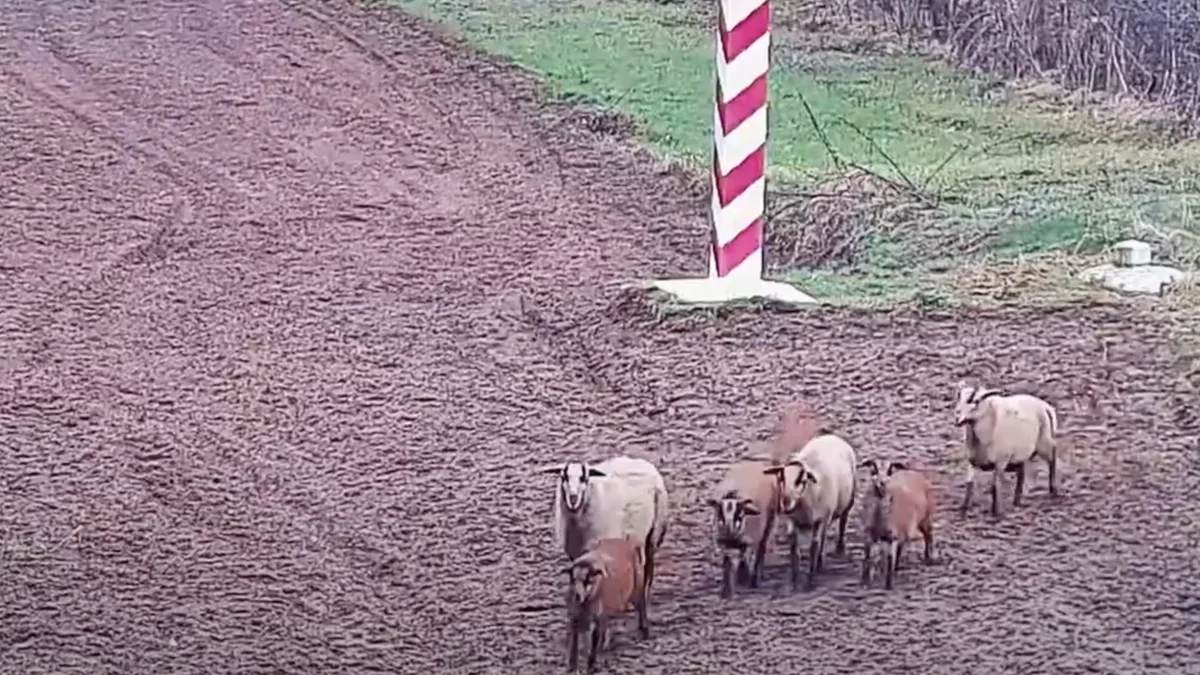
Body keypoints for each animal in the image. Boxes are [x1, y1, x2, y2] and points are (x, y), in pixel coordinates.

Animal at [540, 456, 672, 593]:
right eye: (563, 477)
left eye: (584, 478)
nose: (573, 499)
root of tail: (645, 463)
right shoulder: (576, 554)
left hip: (652, 536)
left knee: (647, 571)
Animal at [561, 533, 648, 667]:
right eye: (573, 579)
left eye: (588, 580)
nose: (577, 596)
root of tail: (623, 540)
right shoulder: (576, 615)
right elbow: (575, 642)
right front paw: (572, 665)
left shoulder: (596, 616)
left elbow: (594, 639)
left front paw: (591, 664)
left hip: (637, 586)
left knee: (642, 605)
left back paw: (643, 629)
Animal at [763, 429, 859, 588]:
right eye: (782, 478)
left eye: (801, 480)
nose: (785, 504)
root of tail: (832, 436)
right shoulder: (792, 520)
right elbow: (794, 548)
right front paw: (794, 577)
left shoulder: (819, 520)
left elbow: (814, 546)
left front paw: (811, 576)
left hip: (847, 500)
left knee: (841, 523)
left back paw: (837, 549)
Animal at [864, 458, 936, 586]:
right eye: (873, 470)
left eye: (889, 471)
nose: (881, 483)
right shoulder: (870, 536)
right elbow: (868, 559)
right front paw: (866, 580)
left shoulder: (892, 538)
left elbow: (889, 560)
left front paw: (888, 584)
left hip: (926, 517)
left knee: (928, 534)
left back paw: (929, 557)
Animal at [955, 384, 1060, 514]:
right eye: (959, 397)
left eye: (976, 401)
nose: (957, 417)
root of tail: (1045, 406)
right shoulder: (972, 461)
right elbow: (969, 484)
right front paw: (963, 508)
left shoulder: (1001, 462)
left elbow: (994, 486)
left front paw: (996, 512)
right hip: (1019, 454)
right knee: (1021, 473)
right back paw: (1016, 501)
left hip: (1043, 442)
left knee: (1052, 458)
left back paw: (1053, 490)